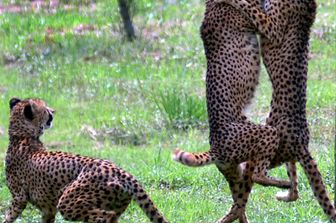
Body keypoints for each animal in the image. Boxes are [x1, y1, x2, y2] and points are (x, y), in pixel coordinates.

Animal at [5, 97, 168, 223]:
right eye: (45, 109)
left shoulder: (19, 198)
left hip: (68, 201)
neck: (21, 135)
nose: (53, 111)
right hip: (115, 203)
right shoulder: (47, 209)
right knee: (111, 216)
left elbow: (9, 216)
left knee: (104, 217)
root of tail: (119, 170)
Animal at [172, 0, 290, 222]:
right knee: (257, 177)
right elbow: (253, 9)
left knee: (238, 202)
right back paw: (285, 184)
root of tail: (215, 146)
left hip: (234, 170)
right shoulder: (263, 23)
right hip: (265, 134)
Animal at [215, 0, 336, 221]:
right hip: (284, 156)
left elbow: (253, 10)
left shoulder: (273, 27)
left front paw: (235, 2)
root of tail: (302, 142)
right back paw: (283, 193)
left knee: (251, 182)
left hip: (263, 149)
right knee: (295, 190)